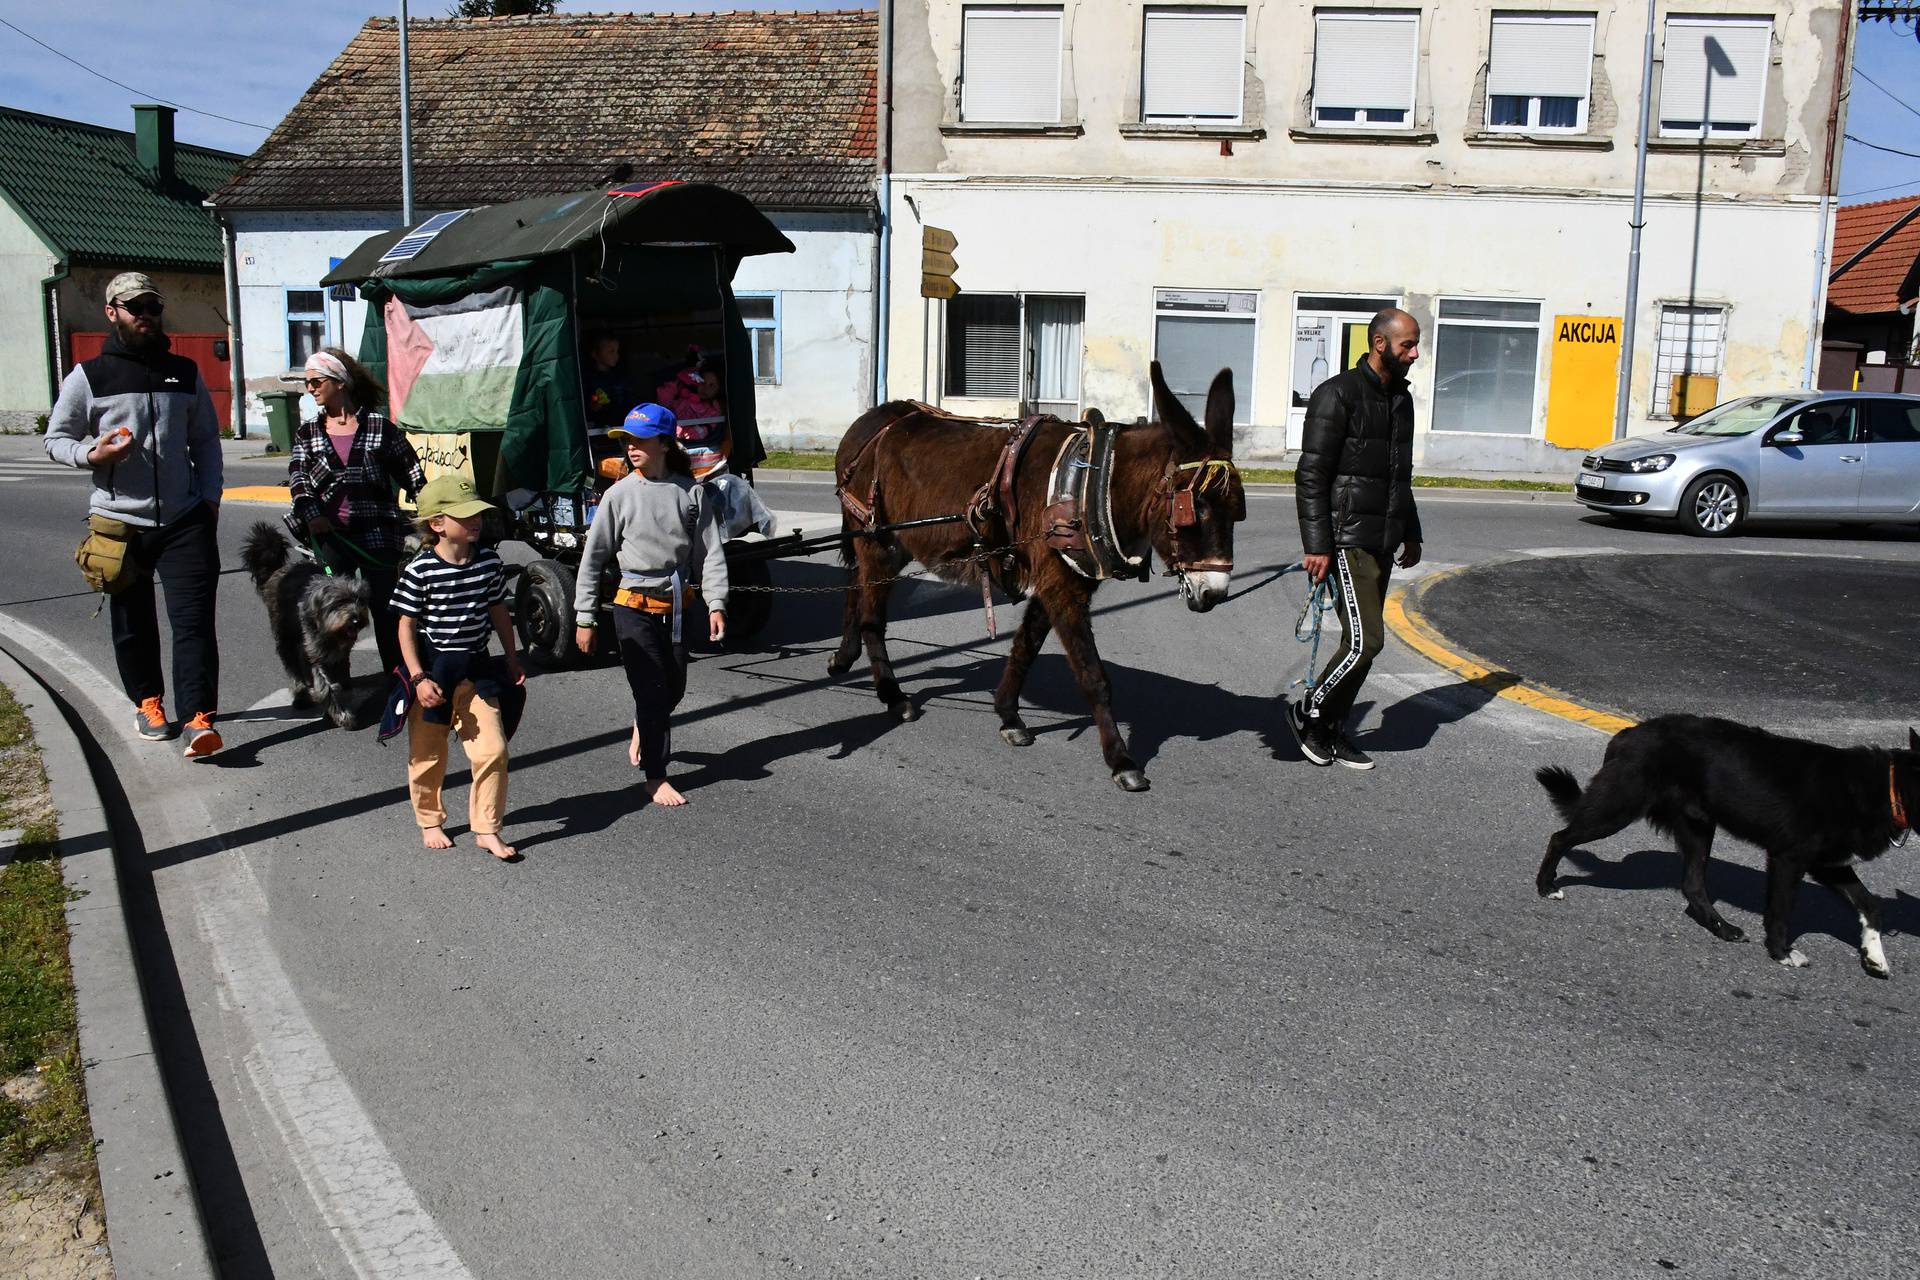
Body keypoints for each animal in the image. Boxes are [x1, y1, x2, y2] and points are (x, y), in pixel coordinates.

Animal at [240, 521, 370, 729]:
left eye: (360, 600)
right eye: (339, 602)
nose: (357, 619)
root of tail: (278, 569)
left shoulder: (339, 654)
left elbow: (341, 679)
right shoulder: (312, 653)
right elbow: (326, 686)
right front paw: (342, 715)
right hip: (285, 637)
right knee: (293, 668)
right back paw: (301, 696)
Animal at [1528, 717, 1920, 974]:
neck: (1887, 787)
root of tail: (1629, 734)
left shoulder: (1828, 864)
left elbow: (1870, 905)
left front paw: (1874, 957)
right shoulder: (1789, 859)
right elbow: (1781, 912)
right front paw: (1781, 952)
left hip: (1697, 827)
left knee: (1693, 886)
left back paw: (1722, 928)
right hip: (1618, 808)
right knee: (1559, 838)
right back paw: (1546, 886)